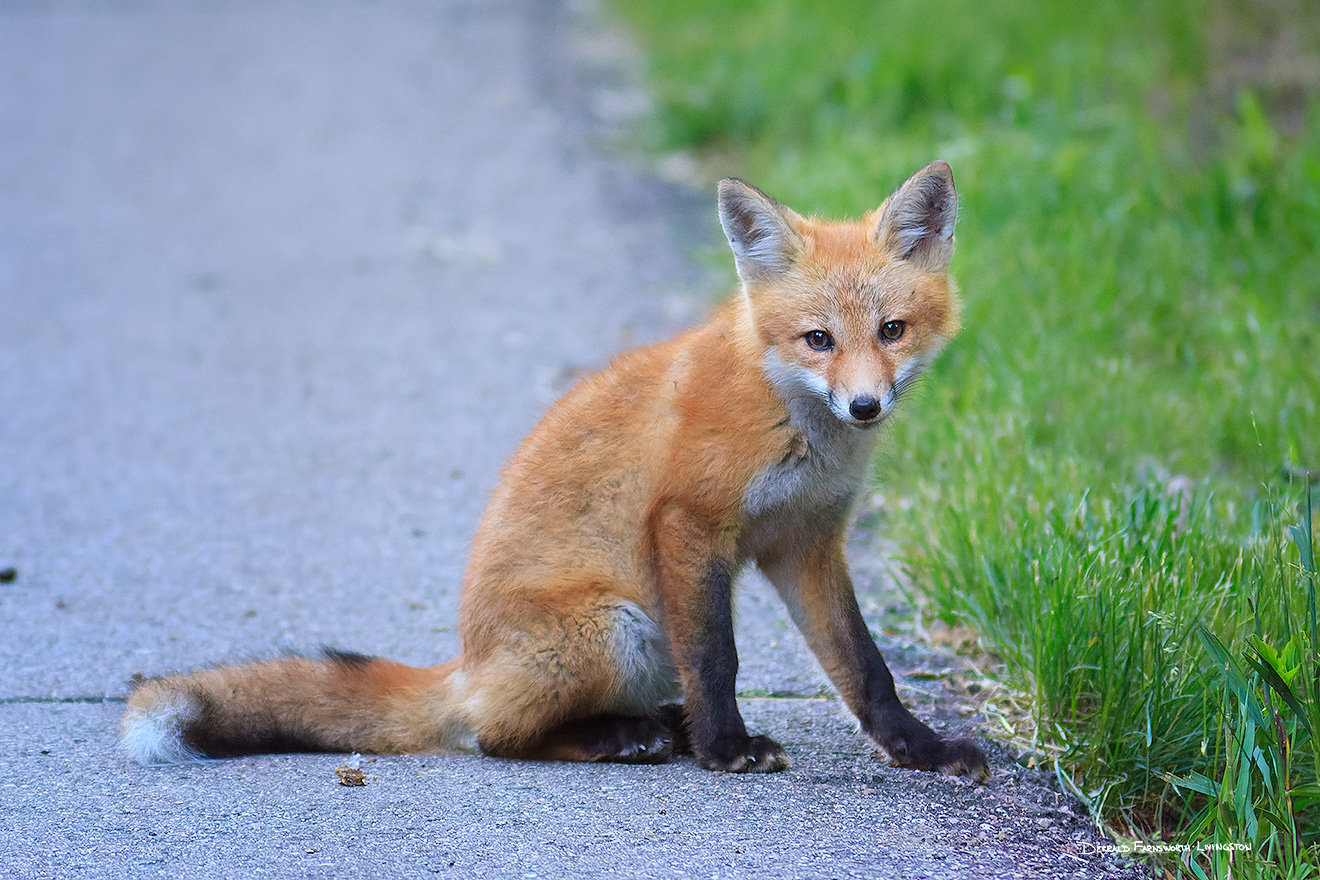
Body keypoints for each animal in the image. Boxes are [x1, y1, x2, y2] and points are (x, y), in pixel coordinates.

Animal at [124, 161, 987, 781]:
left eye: (892, 330)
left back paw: (658, 727)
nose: (865, 407)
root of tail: (467, 664)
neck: (790, 419)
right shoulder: (688, 521)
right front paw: (726, 749)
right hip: (619, 629)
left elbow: (864, 667)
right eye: (818, 340)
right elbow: (718, 657)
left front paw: (919, 749)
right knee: (496, 737)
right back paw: (627, 737)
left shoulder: (804, 542)